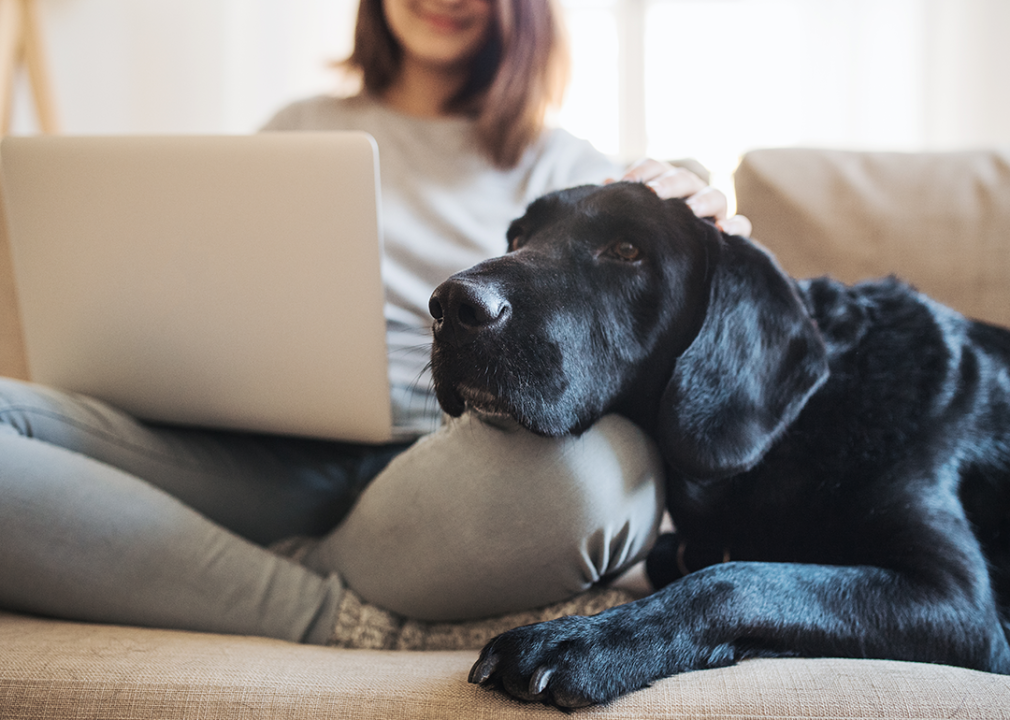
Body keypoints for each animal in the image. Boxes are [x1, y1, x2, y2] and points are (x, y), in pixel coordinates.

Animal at [426, 180, 1010, 706]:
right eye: (518, 235)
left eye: (628, 250)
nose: (451, 304)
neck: (800, 426)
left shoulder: (958, 601)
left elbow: (733, 579)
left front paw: (580, 641)